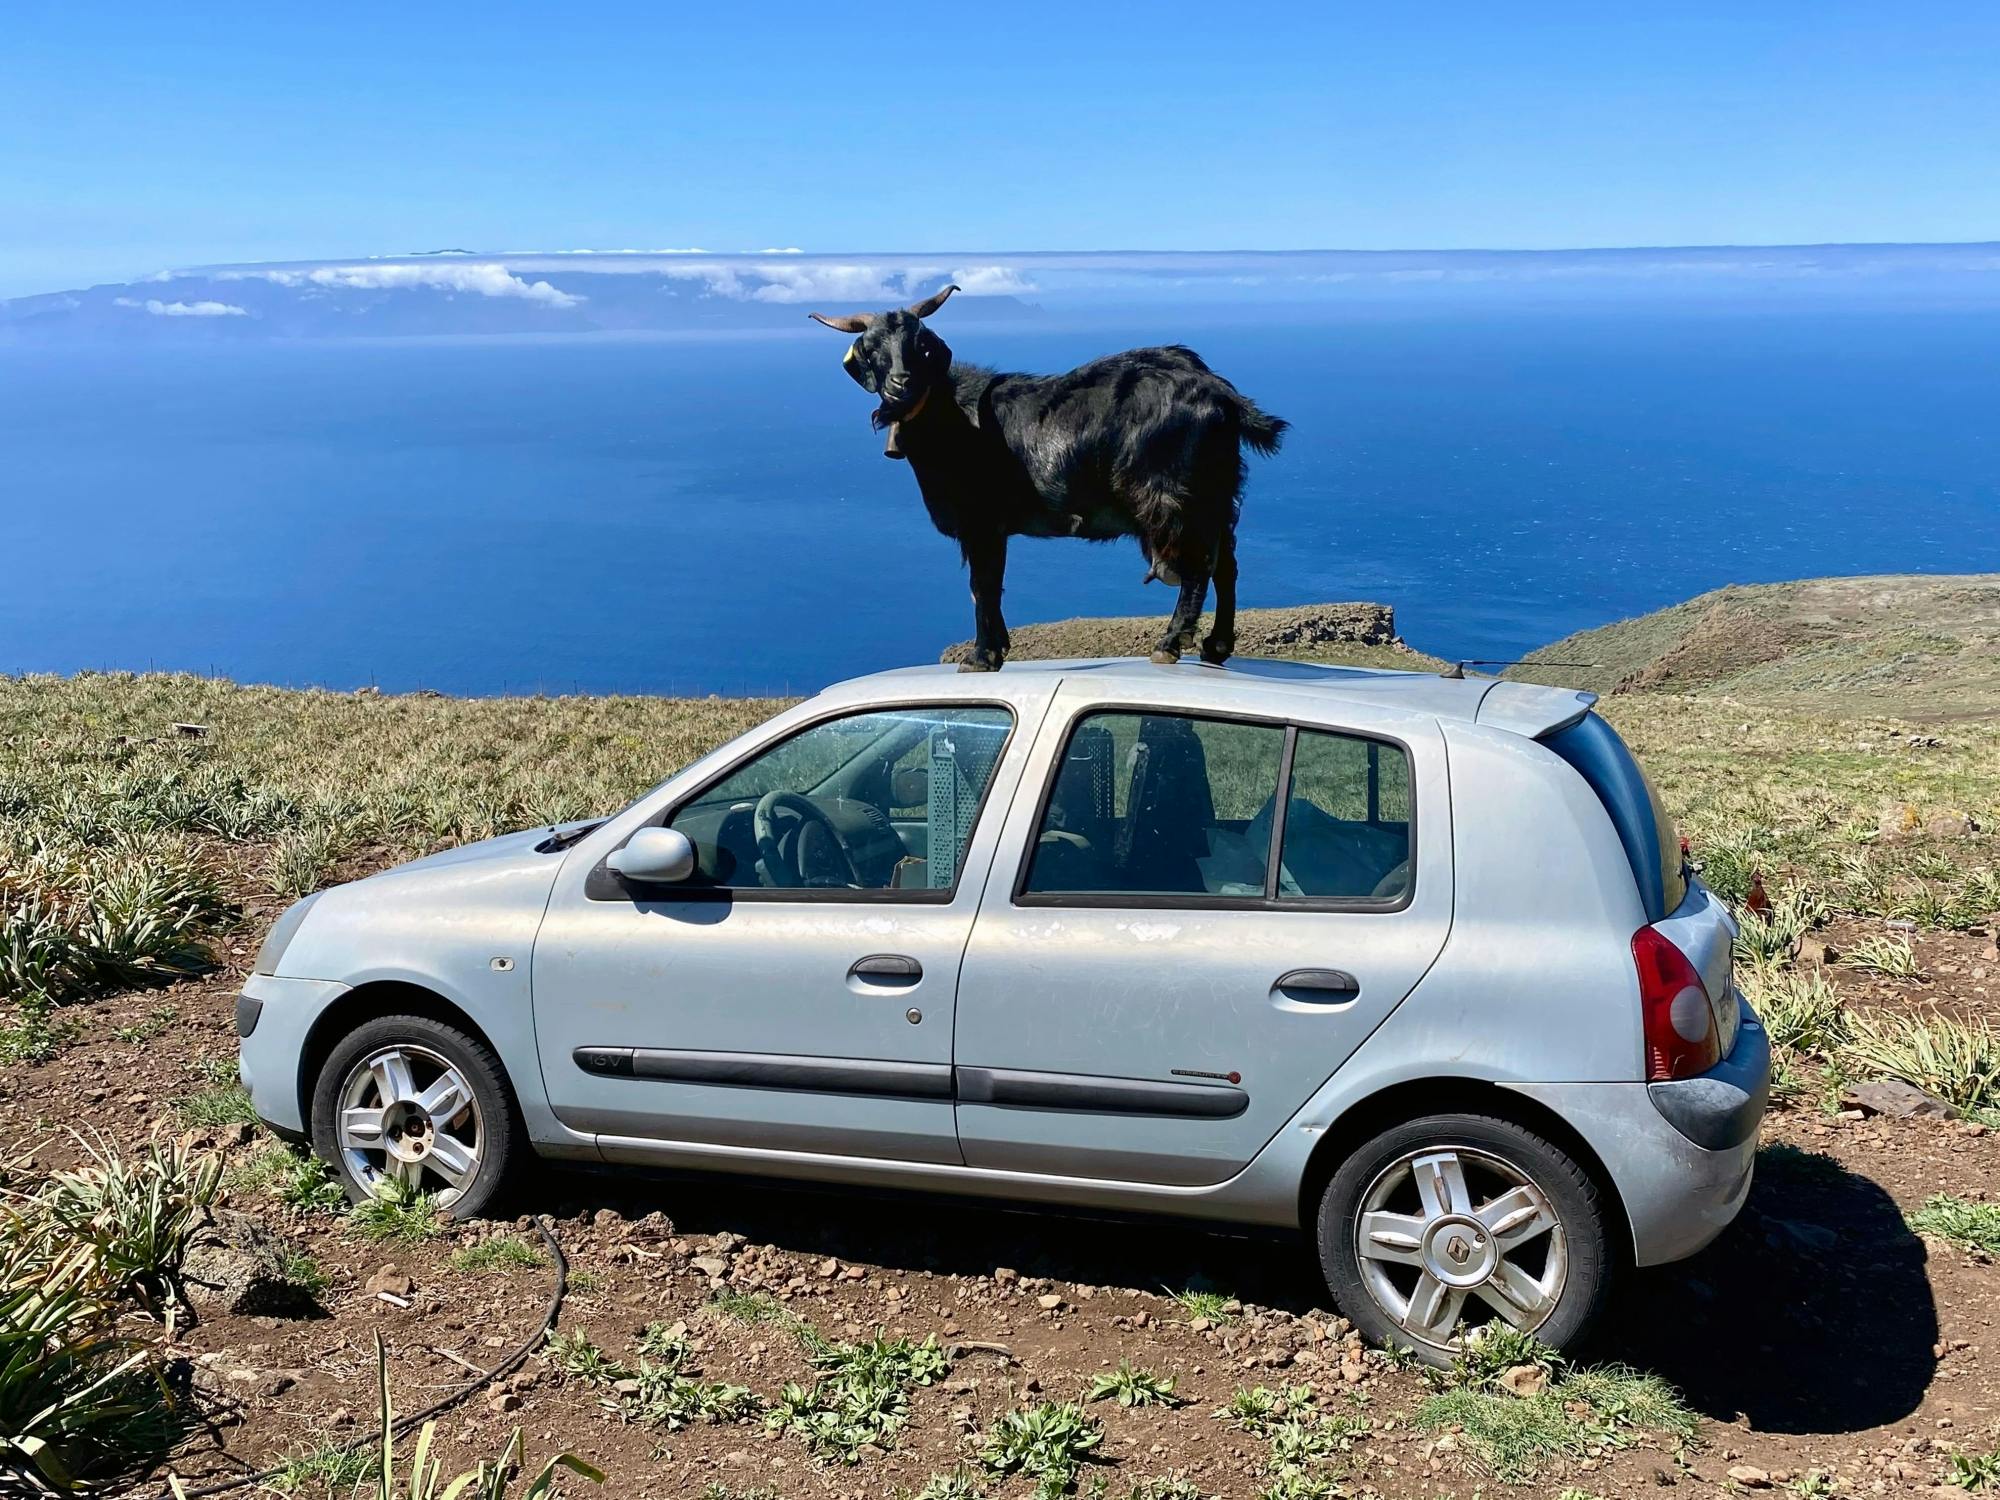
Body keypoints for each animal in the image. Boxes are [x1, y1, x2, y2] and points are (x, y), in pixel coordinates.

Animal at [816, 284, 1296, 672]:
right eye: (871, 347)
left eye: (920, 343)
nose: (900, 384)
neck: (952, 415)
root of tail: (1218, 391)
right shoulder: (992, 528)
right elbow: (989, 585)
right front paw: (998, 650)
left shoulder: (981, 522)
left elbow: (982, 585)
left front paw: (980, 657)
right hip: (1218, 490)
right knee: (1226, 564)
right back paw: (1216, 646)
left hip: (1173, 493)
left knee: (1198, 564)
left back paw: (1170, 644)